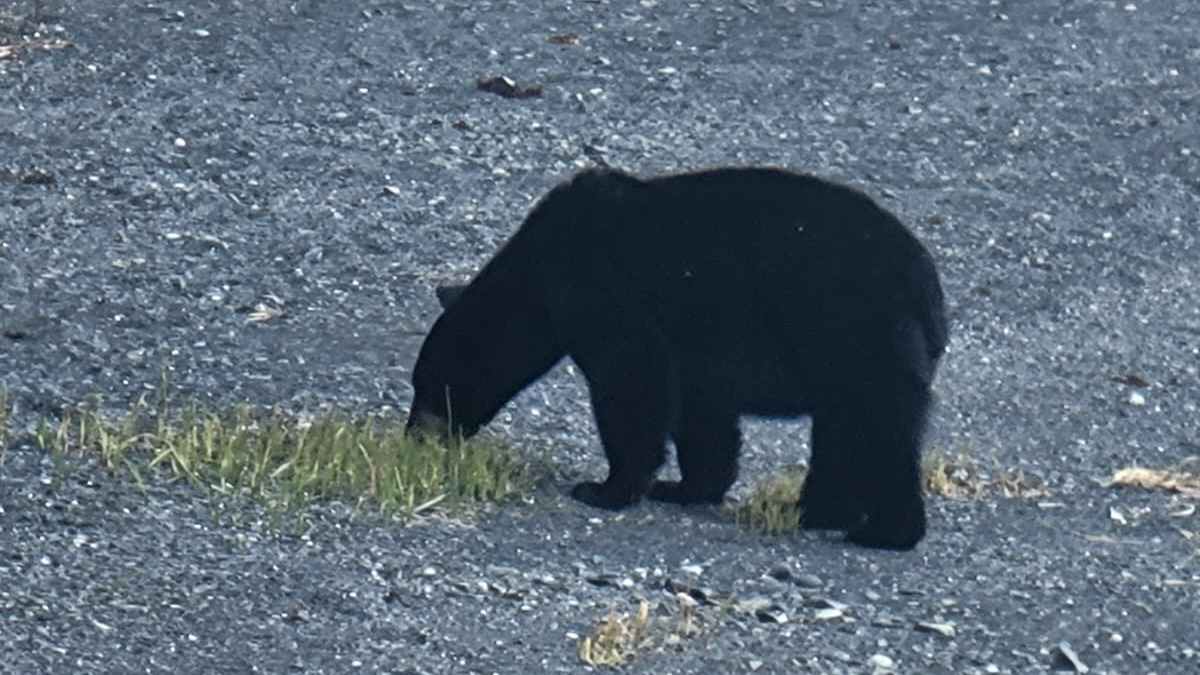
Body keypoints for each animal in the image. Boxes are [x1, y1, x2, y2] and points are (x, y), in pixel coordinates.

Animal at [406, 166, 948, 550]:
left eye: (429, 386)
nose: (414, 436)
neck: (539, 270)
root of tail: (927, 287)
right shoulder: (698, 349)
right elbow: (703, 414)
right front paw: (686, 487)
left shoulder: (605, 295)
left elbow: (630, 383)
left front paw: (607, 489)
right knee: (842, 431)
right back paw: (815, 512)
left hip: (856, 334)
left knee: (881, 428)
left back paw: (884, 532)